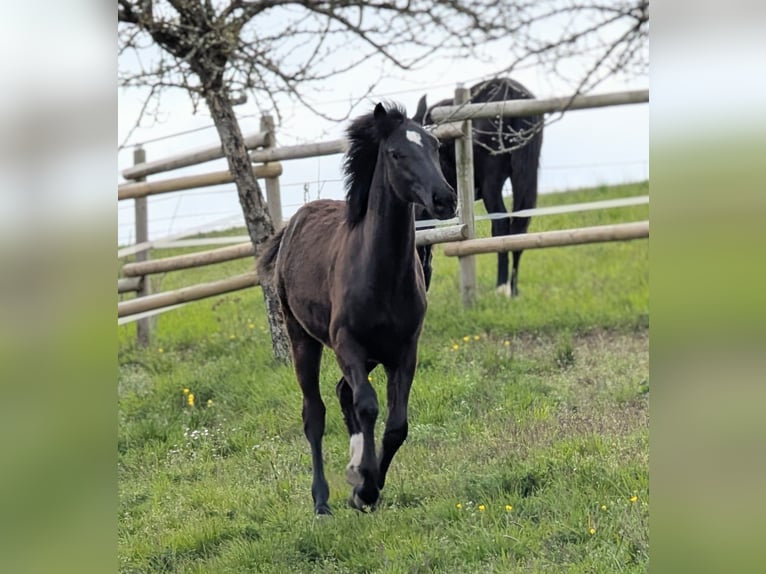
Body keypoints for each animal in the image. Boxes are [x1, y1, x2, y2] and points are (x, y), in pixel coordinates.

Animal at [257, 102, 456, 515]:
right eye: (396, 153)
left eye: (434, 145)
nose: (444, 199)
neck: (381, 274)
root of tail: (293, 224)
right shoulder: (347, 343)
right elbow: (367, 406)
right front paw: (363, 487)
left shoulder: (404, 351)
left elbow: (397, 426)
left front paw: (368, 485)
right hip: (303, 338)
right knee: (315, 412)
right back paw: (321, 502)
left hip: (370, 356)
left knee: (341, 393)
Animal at [413, 77, 544, 297]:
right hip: (525, 175)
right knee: (519, 226)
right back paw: (513, 290)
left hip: (492, 183)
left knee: (501, 224)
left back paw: (501, 287)